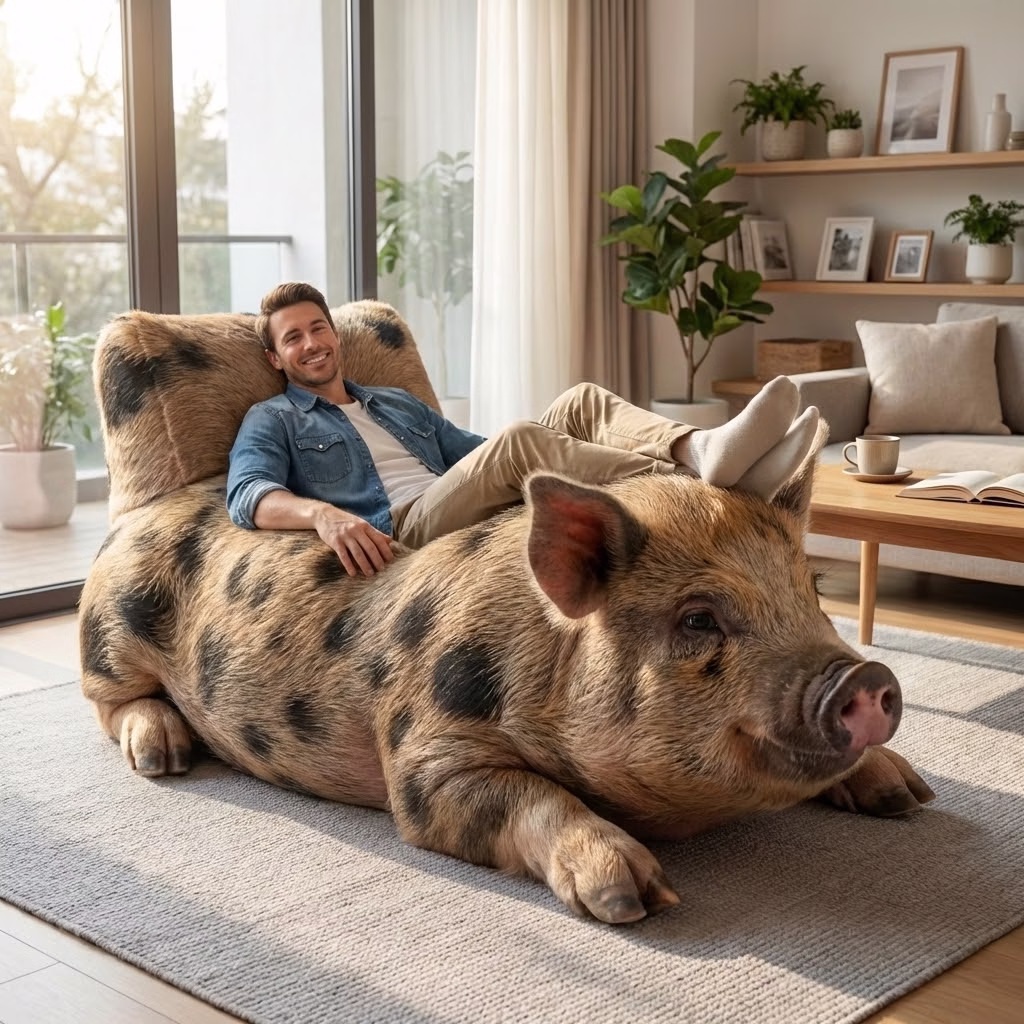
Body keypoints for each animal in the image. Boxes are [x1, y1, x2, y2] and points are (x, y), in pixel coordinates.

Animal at [79, 450, 935, 925]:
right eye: (698, 619)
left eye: (812, 593)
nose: (867, 676)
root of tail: (142, 510)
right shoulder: (422, 757)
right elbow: (524, 795)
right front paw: (634, 898)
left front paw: (910, 797)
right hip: (111, 629)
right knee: (110, 702)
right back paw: (164, 755)